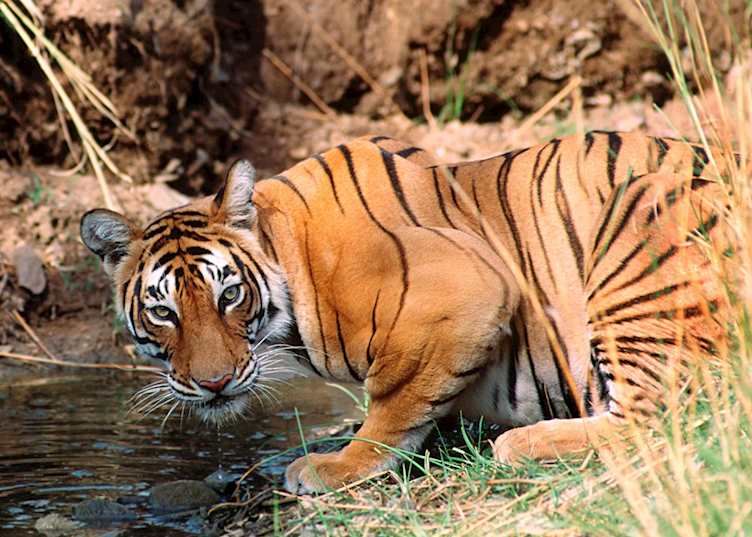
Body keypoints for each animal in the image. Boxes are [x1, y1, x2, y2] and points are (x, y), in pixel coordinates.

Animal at [80, 130, 735, 494]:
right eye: (164, 313)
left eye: (229, 295)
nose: (214, 383)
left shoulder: (467, 289)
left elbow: (393, 401)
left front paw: (338, 465)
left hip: (641, 211)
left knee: (664, 417)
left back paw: (518, 444)